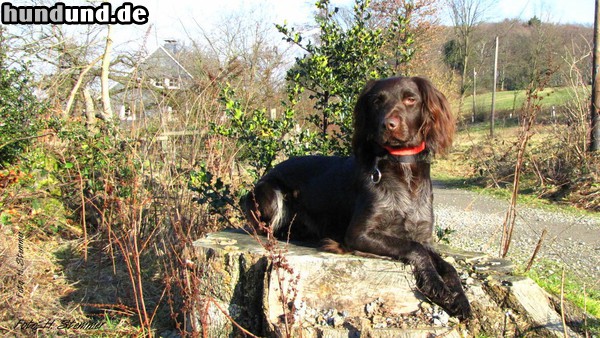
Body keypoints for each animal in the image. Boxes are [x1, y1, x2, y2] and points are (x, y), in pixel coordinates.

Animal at [241, 76, 472, 320]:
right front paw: (436, 285)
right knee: (265, 229)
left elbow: (447, 266)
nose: (388, 125)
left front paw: (460, 299)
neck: (403, 171)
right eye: (377, 101)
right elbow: (414, 248)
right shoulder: (359, 233)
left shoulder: (423, 236)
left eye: (410, 99)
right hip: (269, 193)